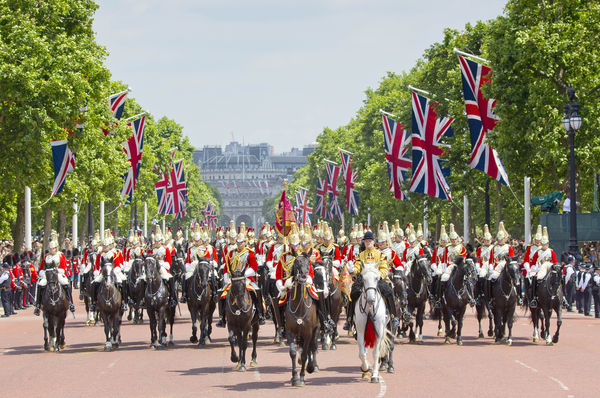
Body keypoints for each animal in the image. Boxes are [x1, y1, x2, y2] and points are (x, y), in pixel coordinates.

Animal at [284, 253, 318, 388]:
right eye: (297, 261)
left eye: (308, 262)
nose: (303, 275)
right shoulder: (290, 332)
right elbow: (293, 353)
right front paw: (294, 378)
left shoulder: (308, 332)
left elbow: (304, 354)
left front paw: (302, 378)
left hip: (314, 331)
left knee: (312, 347)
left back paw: (312, 366)